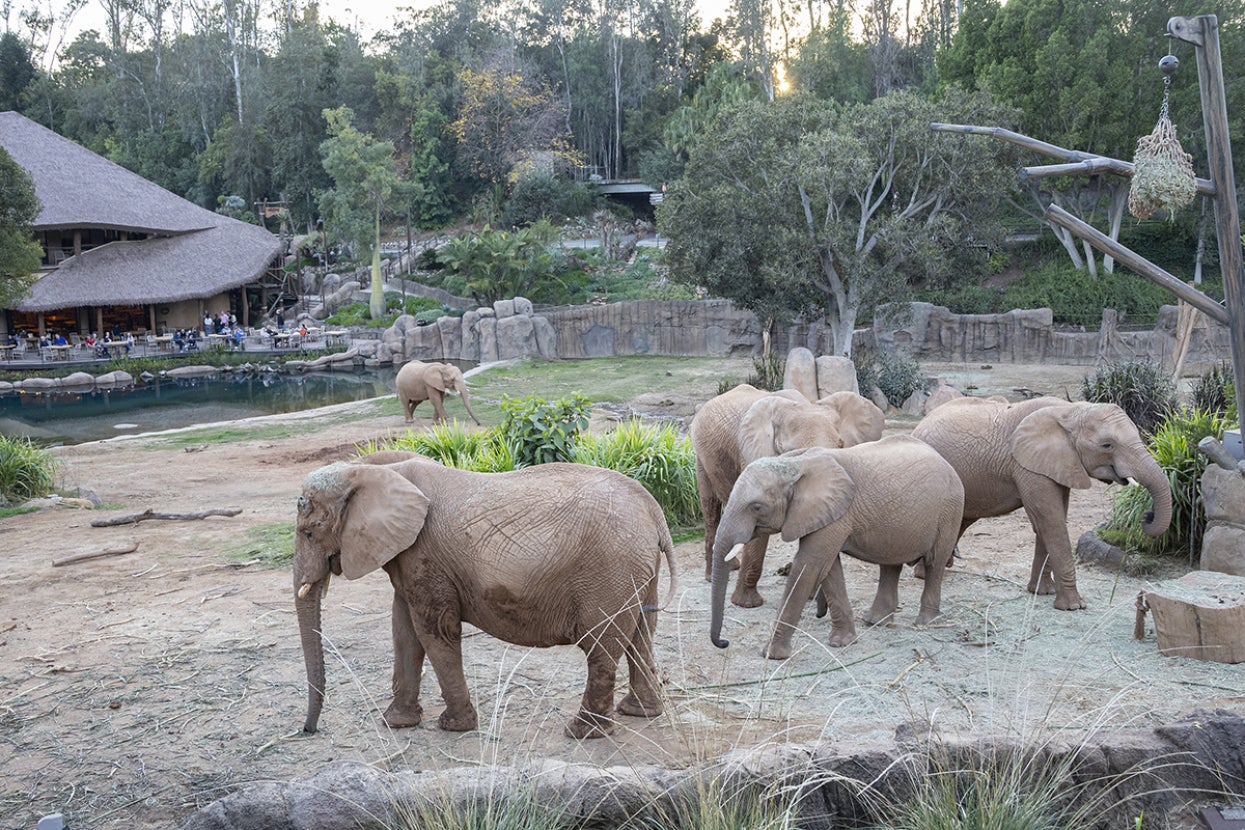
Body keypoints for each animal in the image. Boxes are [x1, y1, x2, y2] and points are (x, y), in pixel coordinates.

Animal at [294, 453, 678, 739]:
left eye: (309, 533)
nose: (308, 730)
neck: (370, 470)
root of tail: (655, 513)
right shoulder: (407, 555)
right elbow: (404, 632)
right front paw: (396, 723)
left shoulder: (424, 553)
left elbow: (434, 630)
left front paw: (453, 727)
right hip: (635, 569)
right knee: (641, 633)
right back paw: (639, 712)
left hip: (609, 567)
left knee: (602, 643)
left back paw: (582, 732)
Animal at [690, 383, 885, 608]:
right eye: (790, 451)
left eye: (840, 445)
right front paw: (747, 604)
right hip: (700, 454)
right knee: (710, 508)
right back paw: (712, 576)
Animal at [709, 437, 964, 659]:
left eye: (756, 507)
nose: (723, 642)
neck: (795, 464)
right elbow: (828, 570)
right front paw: (843, 643)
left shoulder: (836, 513)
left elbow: (809, 567)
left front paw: (772, 655)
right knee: (890, 564)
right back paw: (875, 621)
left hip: (950, 510)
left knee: (935, 563)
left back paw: (925, 623)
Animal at [911, 396, 1173, 611]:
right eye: (1107, 445)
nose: (1147, 515)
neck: (1070, 411)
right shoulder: (1027, 466)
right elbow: (1050, 520)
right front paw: (1074, 607)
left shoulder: (1057, 464)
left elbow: (1049, 520)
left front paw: (1042, 592)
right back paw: (926, 573)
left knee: (963, 519)